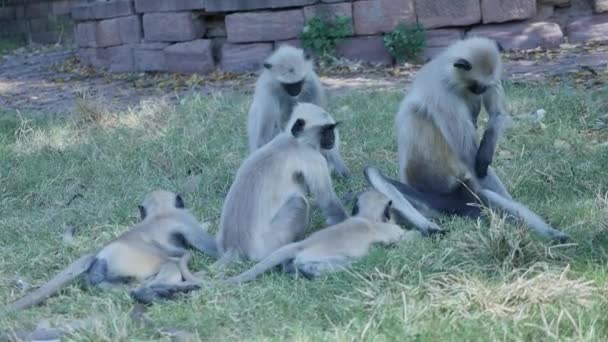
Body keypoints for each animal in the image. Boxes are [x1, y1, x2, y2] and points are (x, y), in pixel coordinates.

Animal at [1, 191, 216, 312]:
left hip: (108, 282)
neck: (160, 211)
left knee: (136, 287)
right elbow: (212, 248)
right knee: (169, 265)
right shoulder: (185, 218)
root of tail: (97, 257)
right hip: (133, 265)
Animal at [216, 103, 350, 268]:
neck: (294, 141)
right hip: (270, 241)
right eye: (326, 130)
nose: (332, 138)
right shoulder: (313, 158)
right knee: (299, 202)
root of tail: (234, 246)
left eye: (331, 129)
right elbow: (328, 201)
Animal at [246, 45, 352, 178]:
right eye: (287, 85)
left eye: (299, 82)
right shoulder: (267, 89)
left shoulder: (312, 84)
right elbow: (263, 138)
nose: (295, 91)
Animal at [366, 37, 568, 243]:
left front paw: (486, 153)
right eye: (477, 86)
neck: (448, 73)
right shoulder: (444, 95)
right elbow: (468, 154)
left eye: (484, 87)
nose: (481, 91)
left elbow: (497, 115)